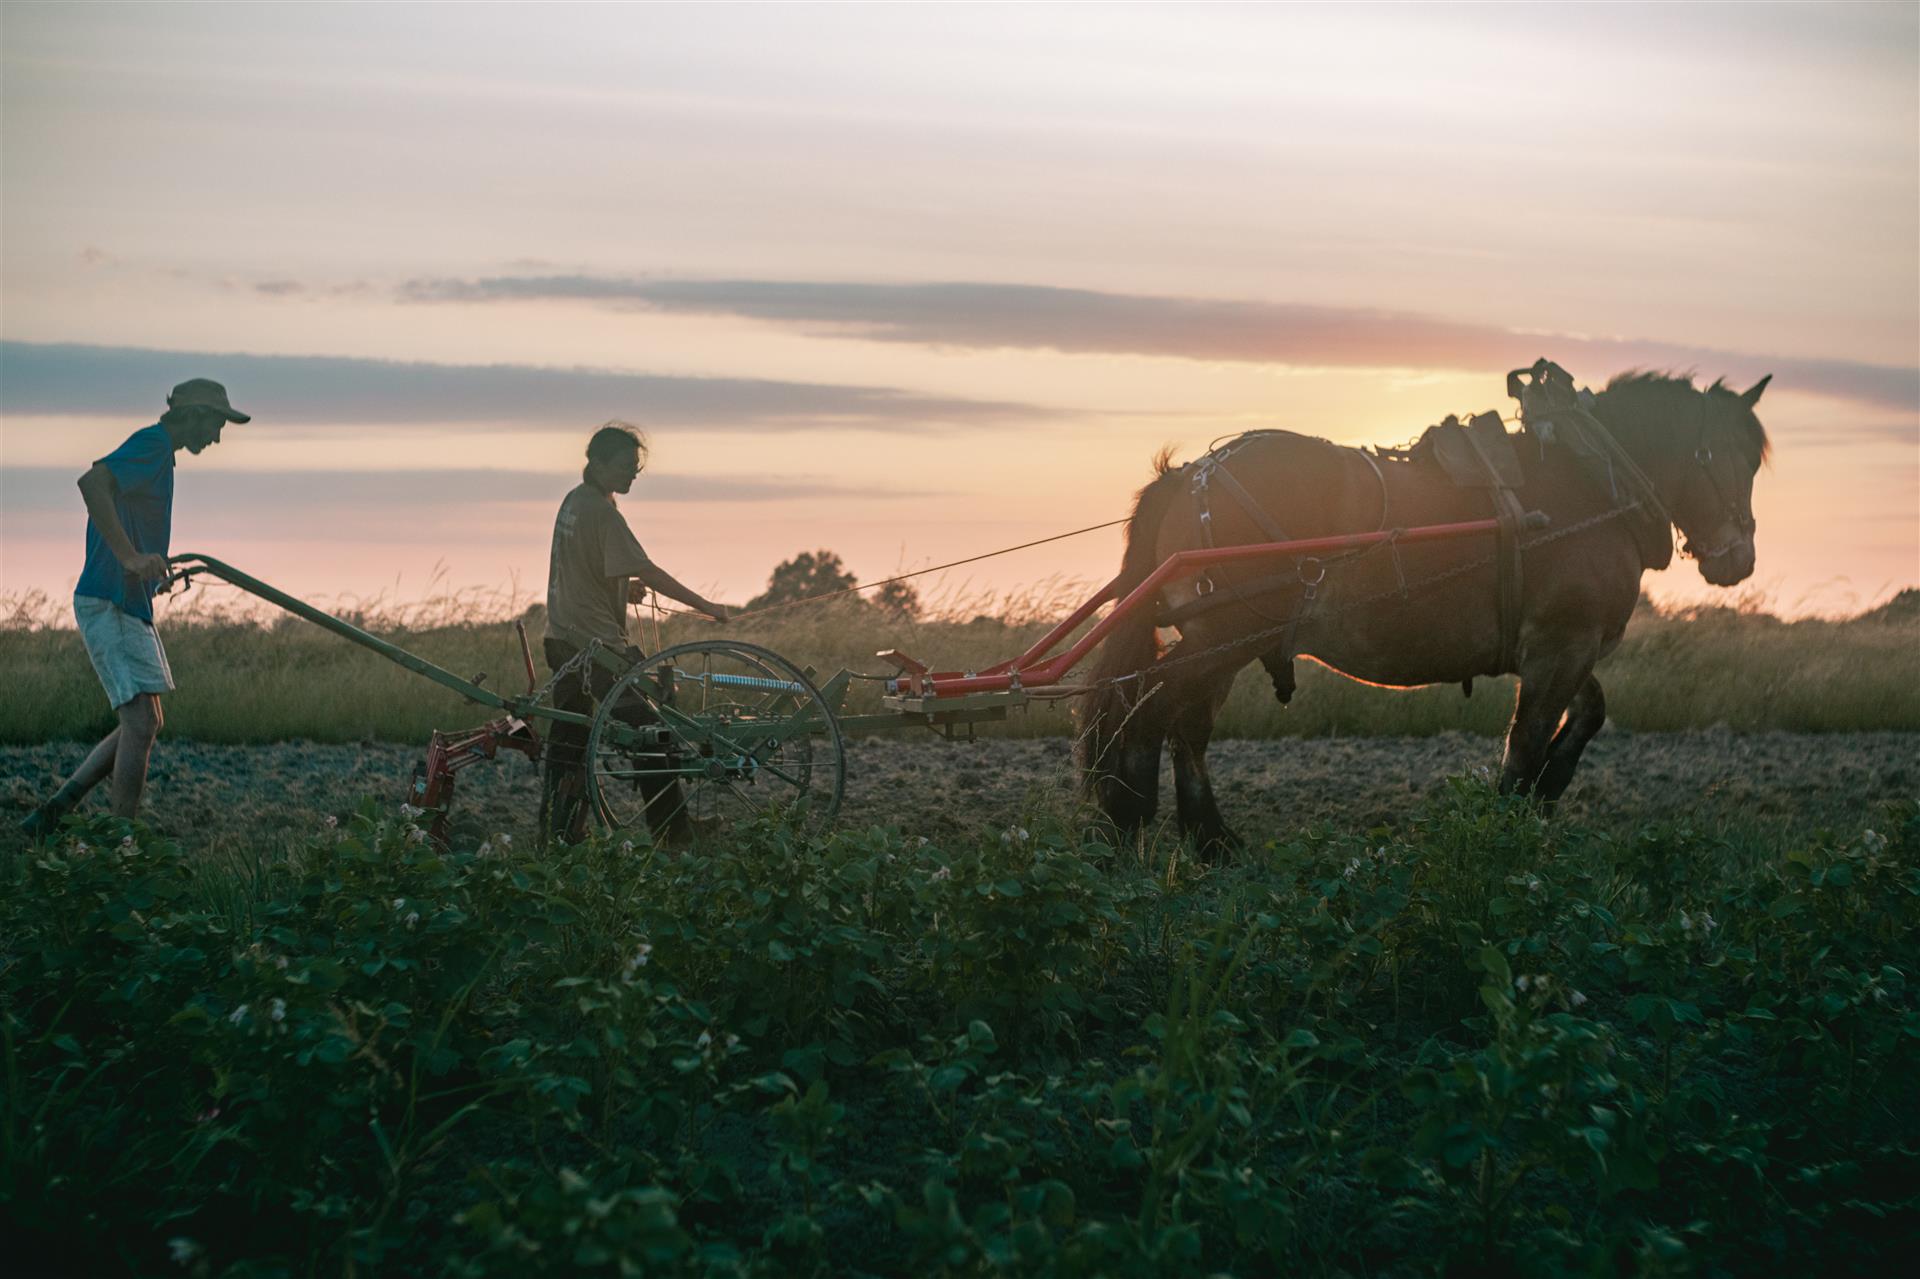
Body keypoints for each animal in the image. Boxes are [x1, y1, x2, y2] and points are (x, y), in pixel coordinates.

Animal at [1075, 362, 1774, 852]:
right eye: (1719, 456)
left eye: (1754, 463)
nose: (1739, 558)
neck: (1590, 480)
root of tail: (1190, 474)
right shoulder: (1561, 642)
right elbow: (1524, 743)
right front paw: (1509, 825)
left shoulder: (1563, 646)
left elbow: (1590, 711)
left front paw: (1550, 789)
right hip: (1226, 633)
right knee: (1149, 707)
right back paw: (1130, 822)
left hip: (1221, 641)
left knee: (1185, 725)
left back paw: (1210, 839)